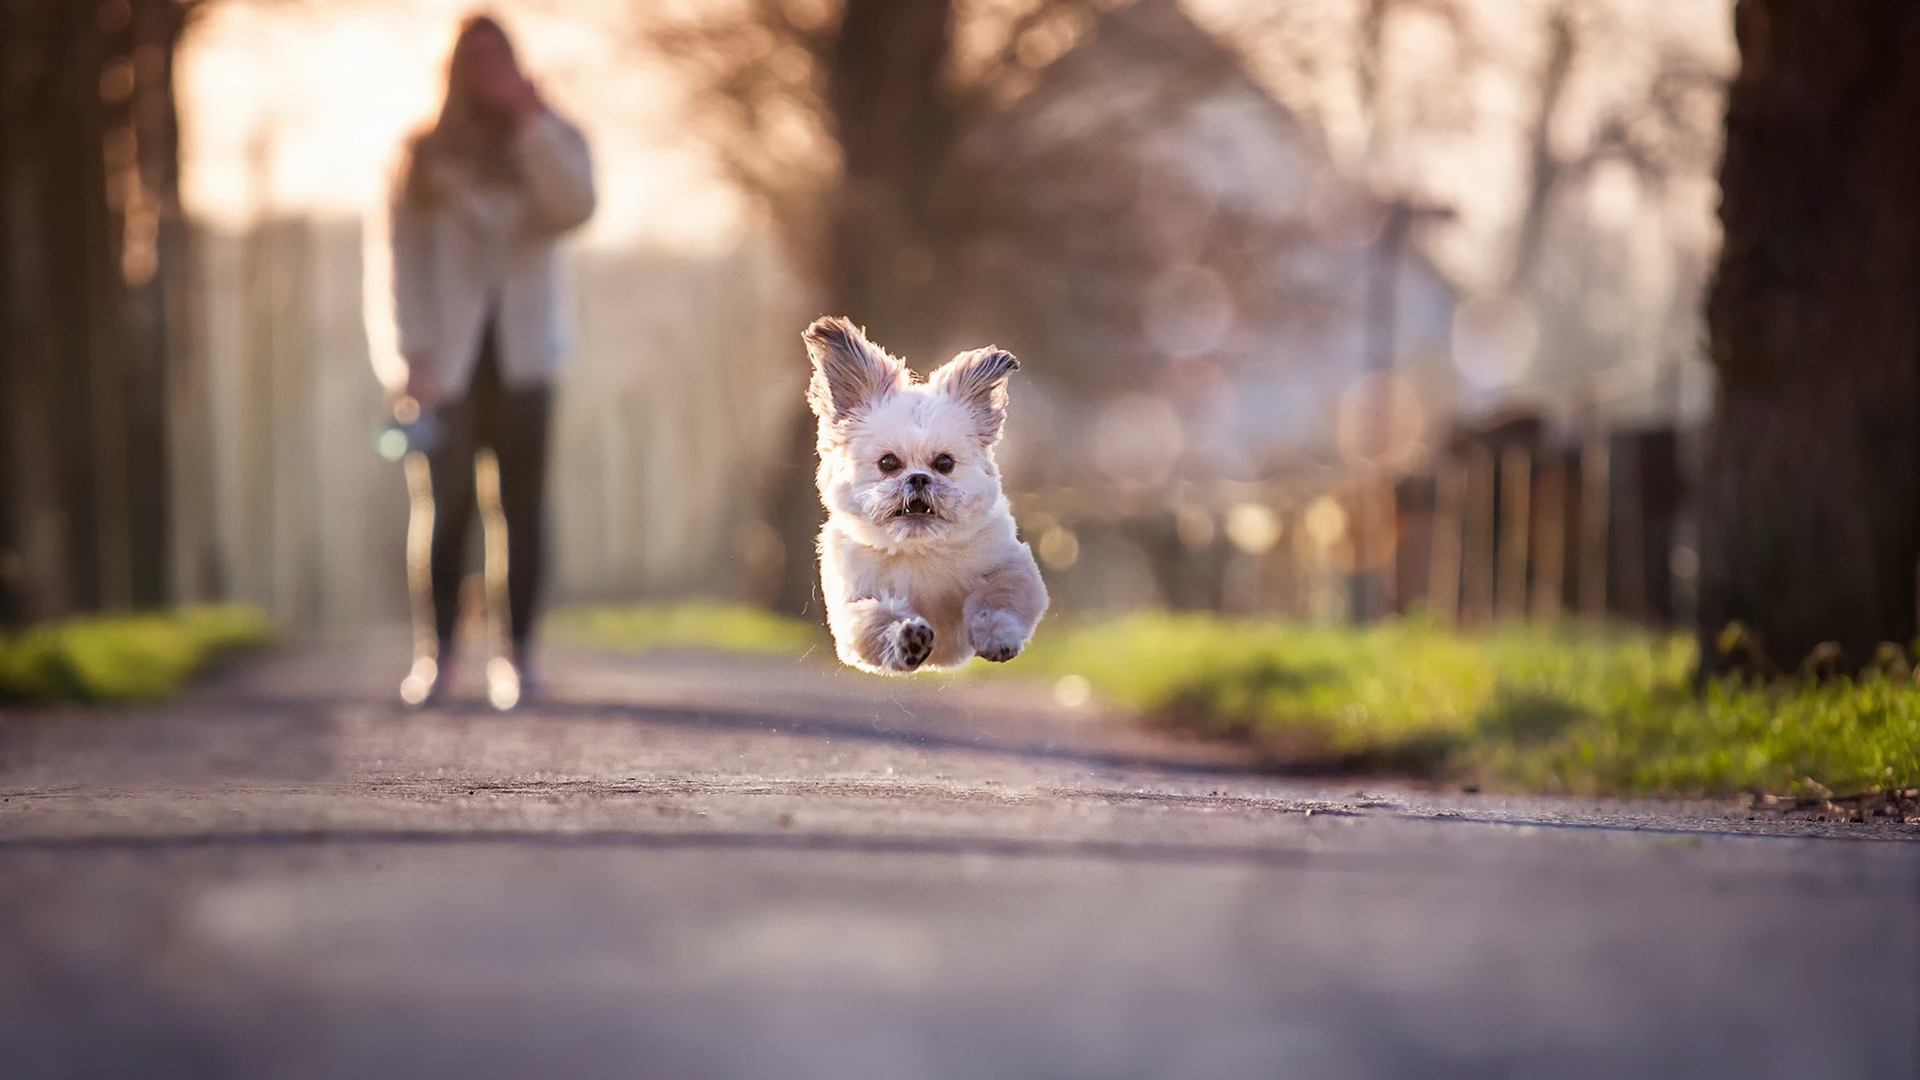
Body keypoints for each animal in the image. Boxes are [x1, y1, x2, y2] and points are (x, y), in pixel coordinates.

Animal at [806, 313, 1059, 672]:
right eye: (888, 463)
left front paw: (997, 637)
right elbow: (878, 619)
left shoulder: (1009, 567)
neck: (920, 548)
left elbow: (996, 600)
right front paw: (907, 638)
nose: (918, 478)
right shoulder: (854, 604)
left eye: (944, 463)